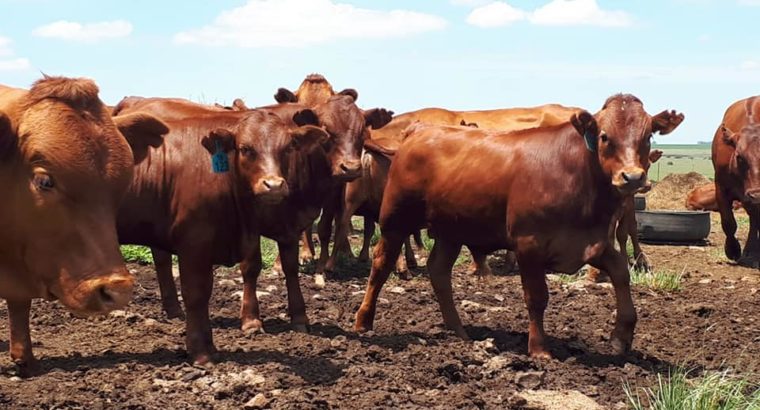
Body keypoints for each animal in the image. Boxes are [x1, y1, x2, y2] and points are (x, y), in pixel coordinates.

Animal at [114, 98, 331, 364]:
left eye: (288, 148)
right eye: (246, 148)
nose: (274, 185)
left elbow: (207, 292)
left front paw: (210, 347)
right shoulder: (193, 244)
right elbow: (196, 294)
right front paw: (200, 352)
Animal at [354, 94, 683, 359]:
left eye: (648, 136)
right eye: (604, 136)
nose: (632, 177)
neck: (576, 174)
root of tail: (419, 129)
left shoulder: (592, 243)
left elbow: (621, 273)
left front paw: (621, 336)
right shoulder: (529, 244)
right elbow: (536, 297)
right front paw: (539, 349)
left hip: (451, 231)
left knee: (439, 272)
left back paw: (458, 331)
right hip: (396, 219)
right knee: (381, 264)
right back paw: (363, 321)